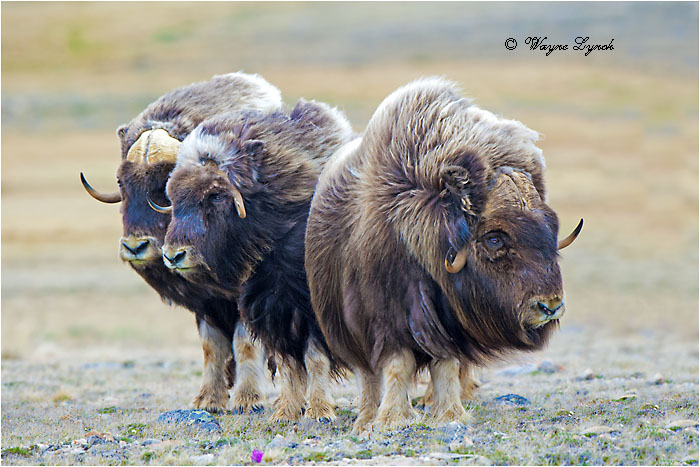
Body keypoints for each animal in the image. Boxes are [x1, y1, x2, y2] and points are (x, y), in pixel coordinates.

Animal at [80, 72, 282, 412]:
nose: (134, 248)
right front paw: (207, 400)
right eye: (121, 181)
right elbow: (211, 346)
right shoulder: (205, 302)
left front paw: (248, 400)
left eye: (165, 184)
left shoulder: (245, 293)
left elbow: (245, 342)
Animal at [157, 99, 355, 421]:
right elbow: (287, 363)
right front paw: (286, 412)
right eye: (172, 197)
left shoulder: (308, 309)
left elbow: (315, 357)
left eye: (215, 195)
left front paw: (319, 411)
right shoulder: (271, 309)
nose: (173, 255)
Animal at [305, 77, 582, 432]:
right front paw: (392, 419)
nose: (550, 306)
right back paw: (366, 418)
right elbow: (397, 364)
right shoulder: (386, 318)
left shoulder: (450, 326)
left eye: (550, 226)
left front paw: (450, 415)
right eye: (494, 238)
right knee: (367, 375)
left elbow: (446, 365)